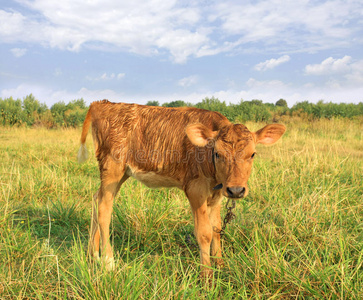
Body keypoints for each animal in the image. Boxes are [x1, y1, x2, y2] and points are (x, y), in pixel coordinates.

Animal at [78, 99, 286, 276]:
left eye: (252, 154)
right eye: (217, 153)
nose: (236, 190)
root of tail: (103, 103)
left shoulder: (217, 194)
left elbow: (216, 228)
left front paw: (220, 265)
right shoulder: (195, 189)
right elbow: (204, 233)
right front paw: (207, 275)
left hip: (120, 173)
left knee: (97, 199)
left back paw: (93, 255)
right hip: (112, 166)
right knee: (104, 209)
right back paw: (108, 262)